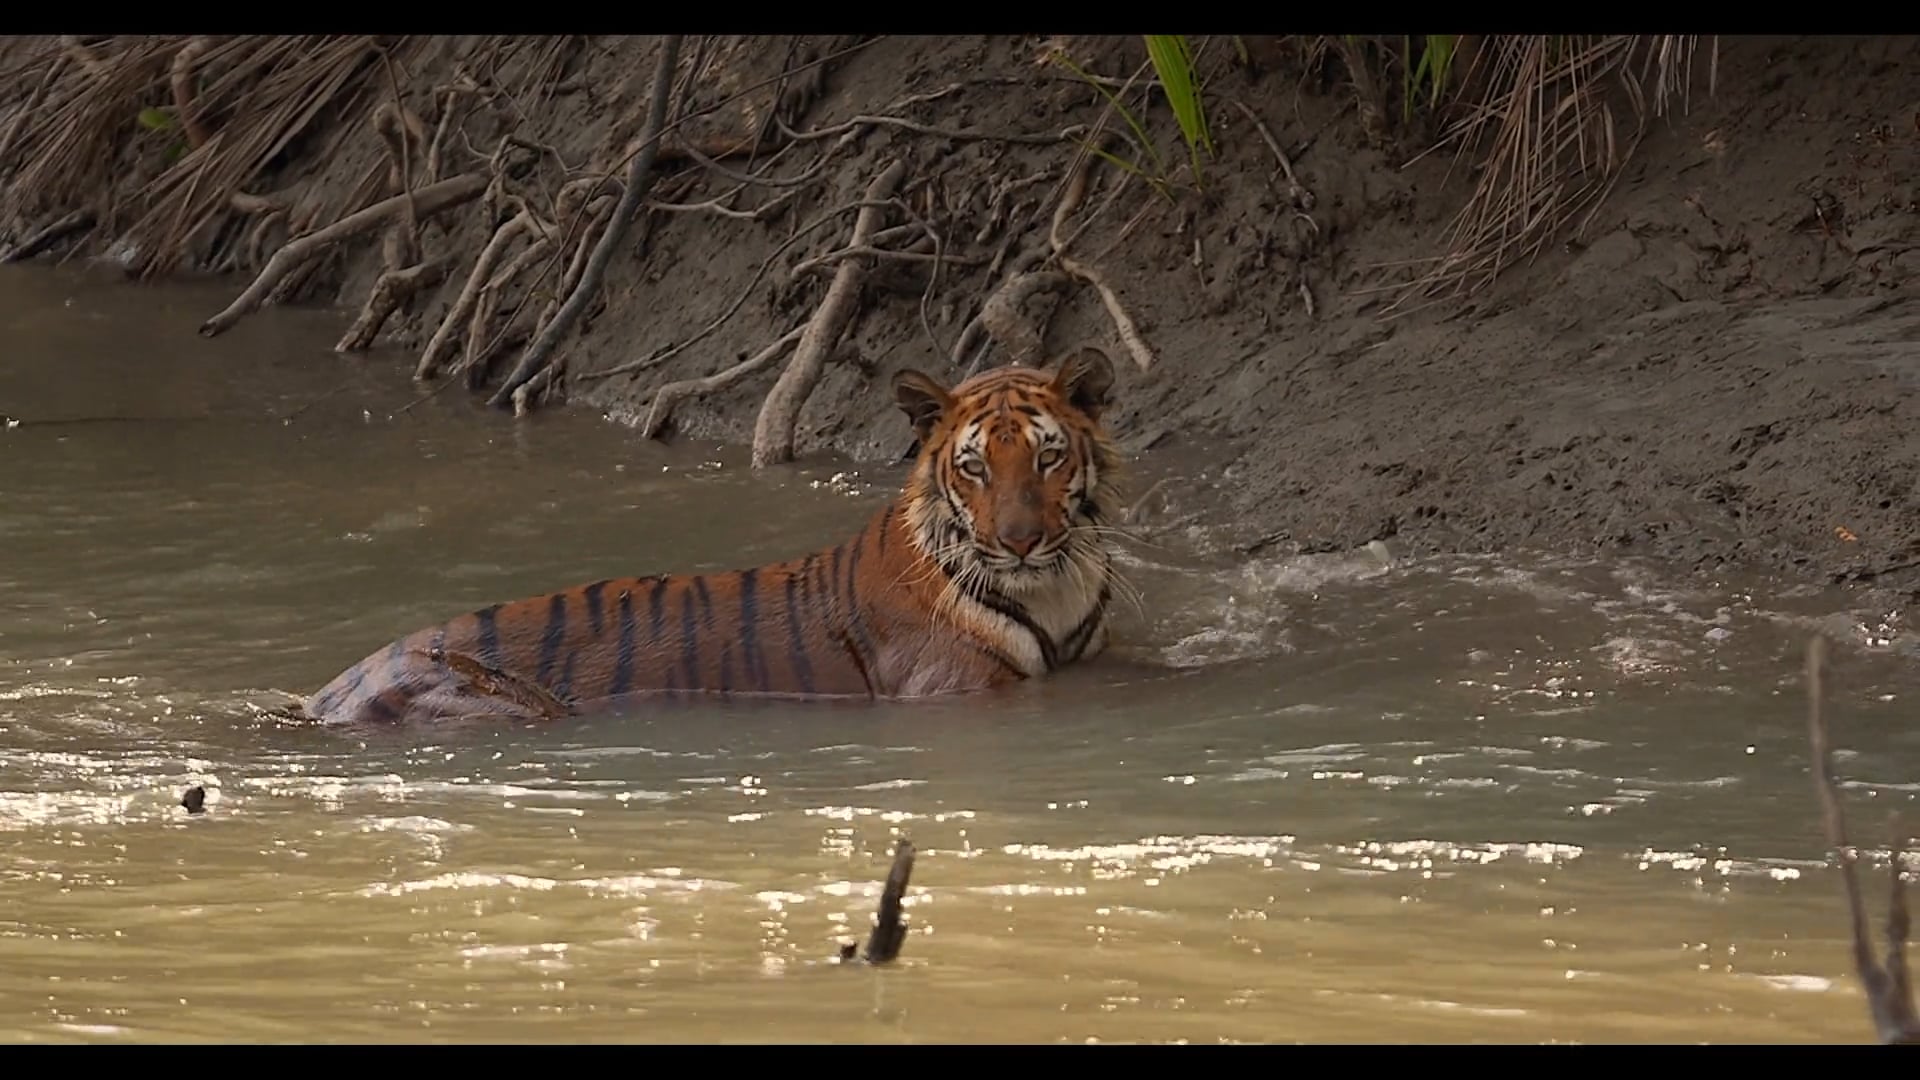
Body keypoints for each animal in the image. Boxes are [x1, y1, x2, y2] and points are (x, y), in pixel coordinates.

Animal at [299, 343, 1121, 722]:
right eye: (975, 467)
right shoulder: (958, 688)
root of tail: (322, 696)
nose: (1019, 541)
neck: (1051, 589)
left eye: (1048, 457)